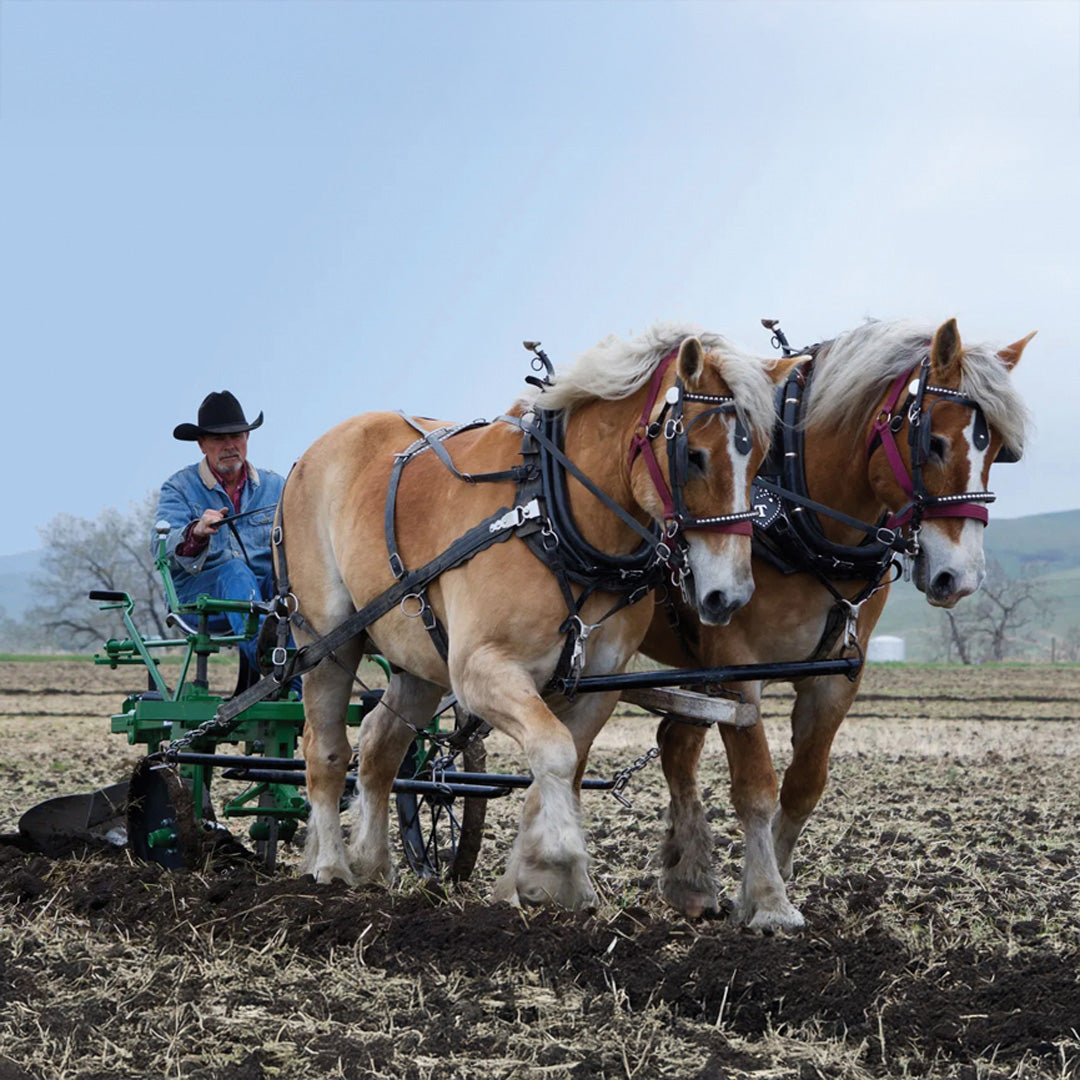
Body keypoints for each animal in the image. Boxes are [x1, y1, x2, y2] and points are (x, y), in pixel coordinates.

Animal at [282, 324, 799, 907]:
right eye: (693, 455)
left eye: (760, 459)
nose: (729, 596)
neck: (550, 514)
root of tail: (313, 453)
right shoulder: (482, 670)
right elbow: (552, 751)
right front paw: (556, 860)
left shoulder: (597, 683)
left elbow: (565, 766)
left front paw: (540, 882)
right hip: (324, 639)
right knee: (326, 750)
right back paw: (330, 865)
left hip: (418, 659)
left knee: (378, 747)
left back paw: (372, 862)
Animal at [643, 317, 1032, 928]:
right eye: (934, 442)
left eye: (994, 446)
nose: (961, 577)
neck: (800, 511)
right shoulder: (735, 665)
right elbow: (755, 784)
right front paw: (770, 901)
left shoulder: (838, 673)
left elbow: (804, 785)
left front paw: (760, 887)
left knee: (675, 742)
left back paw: (690, 882)